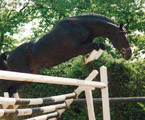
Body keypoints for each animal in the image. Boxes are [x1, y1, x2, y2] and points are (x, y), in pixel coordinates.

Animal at [0, 13, 131, 96]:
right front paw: (87, 59)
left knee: (11, 88)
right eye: (123, 37)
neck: (82, 27)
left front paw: (88, 59)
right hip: (19, 73)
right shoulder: (77, 49)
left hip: (28, 76)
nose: (129, 54)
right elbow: (98, 45)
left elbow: (100, 46)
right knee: (5, 85)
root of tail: (10, 54)